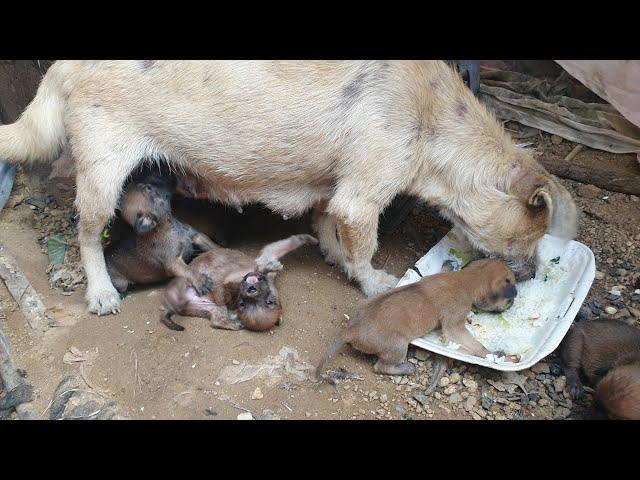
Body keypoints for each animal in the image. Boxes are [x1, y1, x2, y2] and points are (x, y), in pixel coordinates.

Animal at [0, 61, 576, 316]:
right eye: (528, 237)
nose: (529, 277)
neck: (436, 120)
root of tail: (60, 66)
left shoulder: (331, 190)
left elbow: (328, 228)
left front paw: (332, 255)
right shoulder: (361, 197)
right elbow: (364, 248)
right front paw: (373, 282)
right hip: (103, 172)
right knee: (86, 233)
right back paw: (99, 292)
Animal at [161, 234, 318, 332]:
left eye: (242, 304)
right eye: (270, 302)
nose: (251, 289)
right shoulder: (268, 254)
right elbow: (290, 243)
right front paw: (312, 239)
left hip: (212, 308)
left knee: (216, 321)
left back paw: (234, 324)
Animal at [318, 258, 516, 378]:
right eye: (510, 299)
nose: (513, 304)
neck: (465, 280)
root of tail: (352, 329)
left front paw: (449, 263)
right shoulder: (454, 326)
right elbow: (474, 344)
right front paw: (492, 355)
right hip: (398, 346)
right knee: (381, 367)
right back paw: (405, 368)